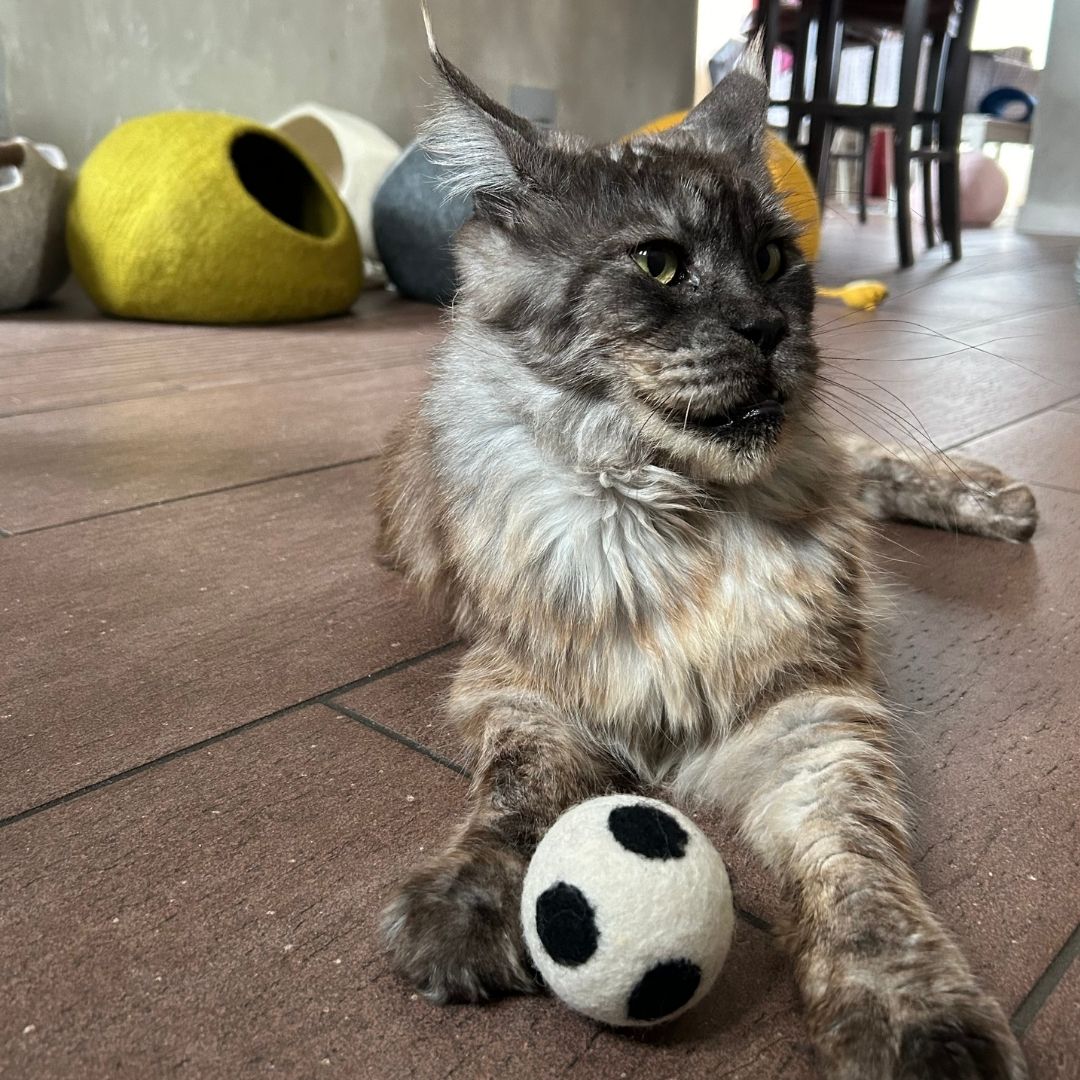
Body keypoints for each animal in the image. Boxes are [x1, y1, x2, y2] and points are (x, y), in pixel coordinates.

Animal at [375, 23, 1032, 1080]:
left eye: (772, 257)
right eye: (658, 264)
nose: (768, 328)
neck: (675, 518)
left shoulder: (812, 716)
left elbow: (863, 881)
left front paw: (919, 1024)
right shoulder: (527, 685)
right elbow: (516, 797)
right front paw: (463, 910)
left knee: (863, 462)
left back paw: (997, 499)